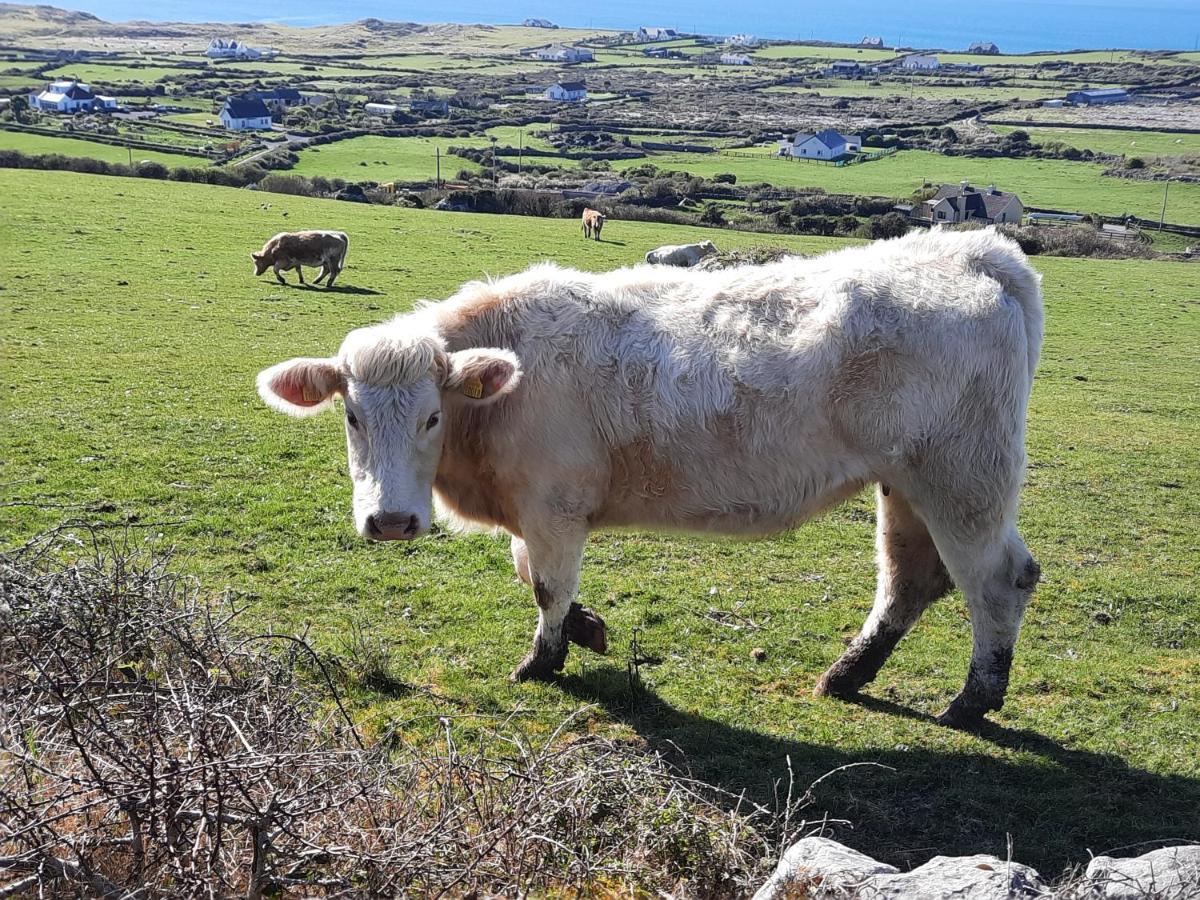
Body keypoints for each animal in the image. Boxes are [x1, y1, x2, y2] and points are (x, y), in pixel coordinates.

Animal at [260, 229, 1041, 729]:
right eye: (352, 415)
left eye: (432, 416)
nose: (391, 521)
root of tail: (973, 250)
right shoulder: (540, 512)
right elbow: (532, 574)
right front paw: (589, 630)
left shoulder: (554, 507)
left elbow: (545, 585)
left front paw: (543, 660)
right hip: (906, 482)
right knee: (910, 580)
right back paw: (847, 675)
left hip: (963, 478)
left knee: (997, 579)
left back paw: (972, 699)